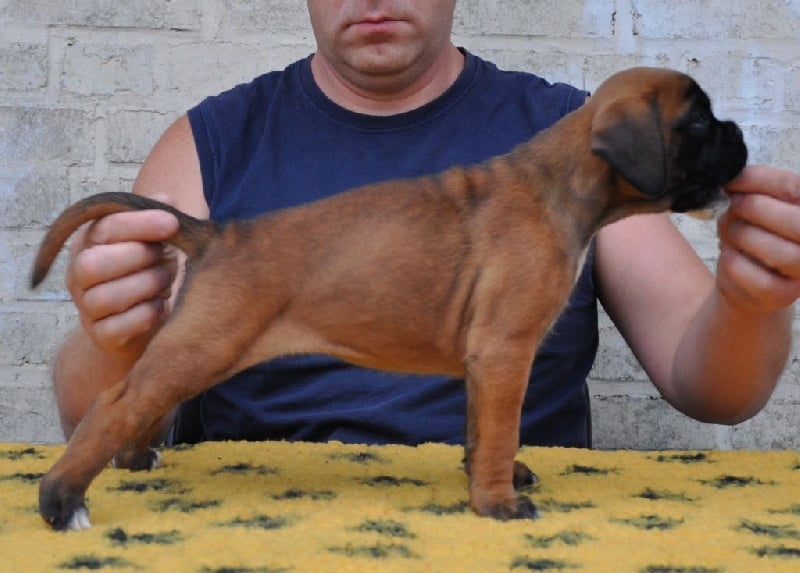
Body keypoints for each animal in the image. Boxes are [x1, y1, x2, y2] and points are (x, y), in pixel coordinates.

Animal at [31, 67, 747, 530]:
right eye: (699, 121)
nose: (741, 133)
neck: (560, 182)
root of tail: (218, 234)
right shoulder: (505, 352)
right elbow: (501, 428)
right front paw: (497, 504)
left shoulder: (485, 363)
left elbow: (481, 429)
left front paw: (488, 478)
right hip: (204, 345)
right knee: (114, 403)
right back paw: (61, 502)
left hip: (197, 346)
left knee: (139, 401)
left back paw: (132, 460)